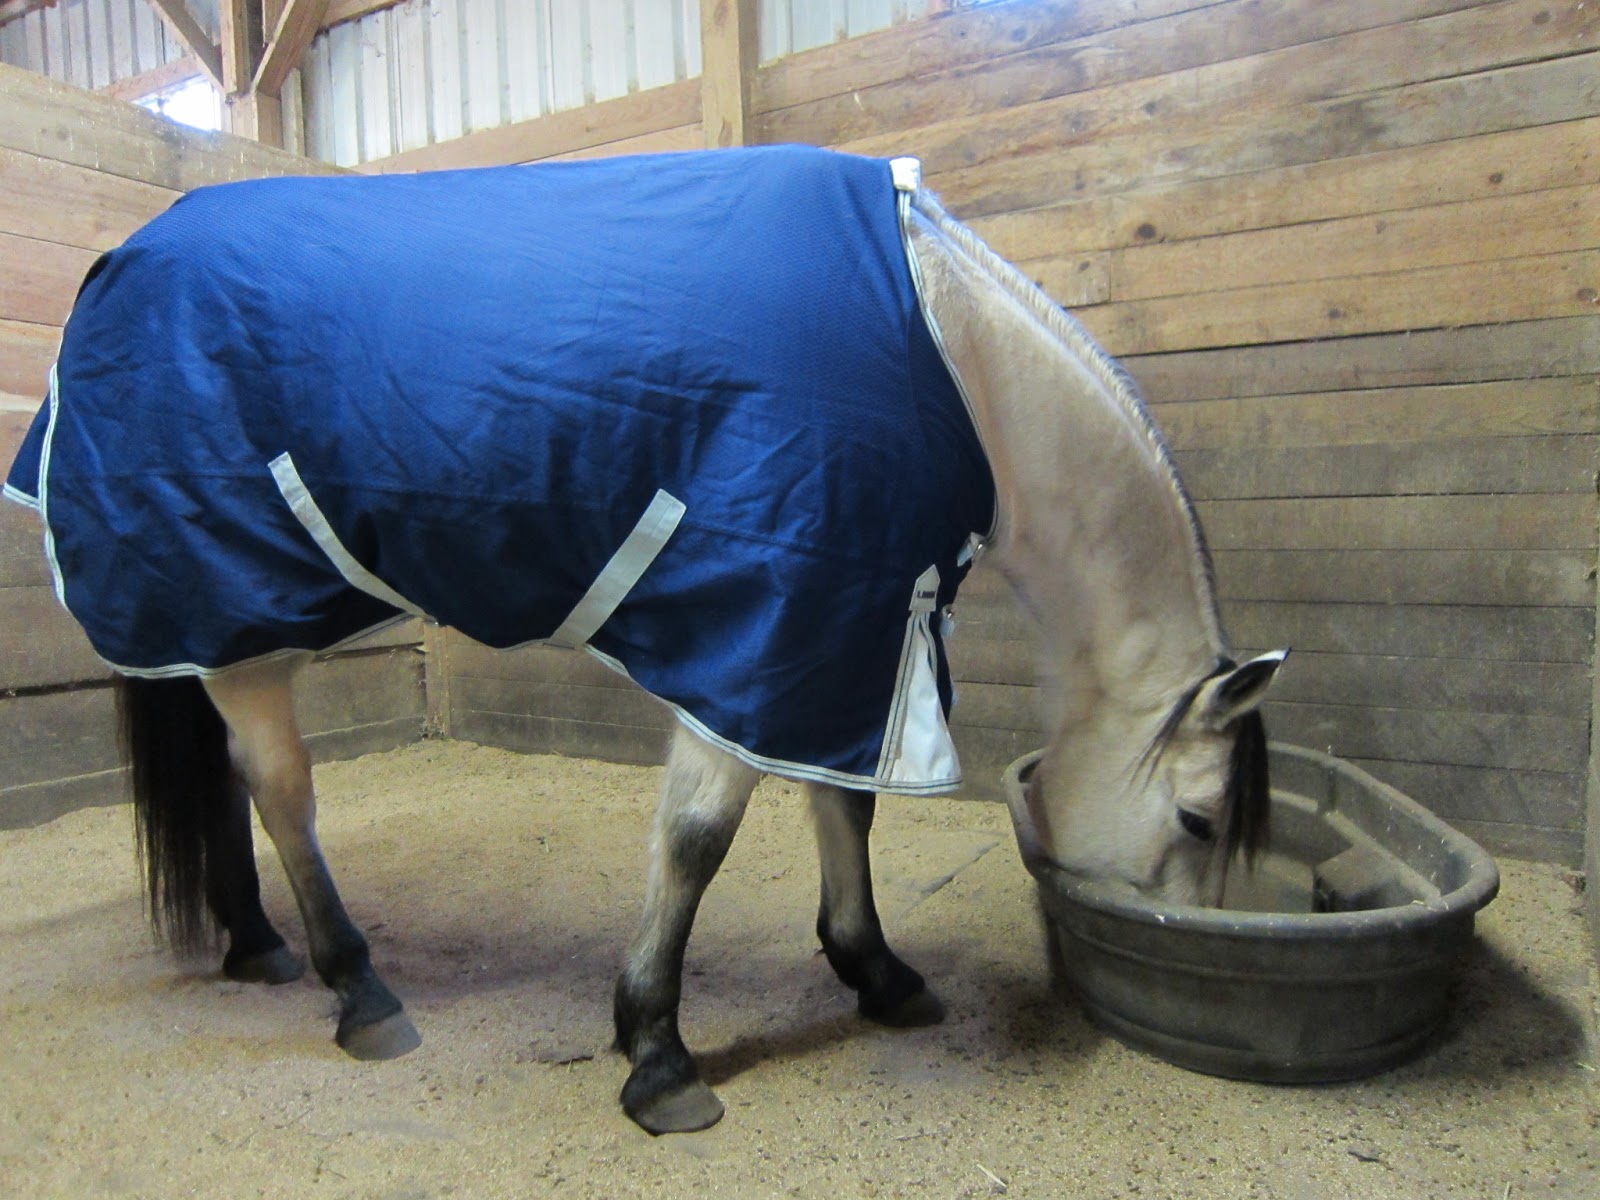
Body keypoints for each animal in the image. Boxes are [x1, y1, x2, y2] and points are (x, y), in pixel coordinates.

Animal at [3, 146, 1285, 1135]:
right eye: (1197, 820)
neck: (952, 352)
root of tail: (121, 260)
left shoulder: (851, 630)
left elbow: (842, 807)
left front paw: (872, 969)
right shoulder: (765, 621)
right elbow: (697, 839)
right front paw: (657, 1053)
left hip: (215, 620)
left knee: (228, 780)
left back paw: (255, 942)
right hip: (234, 608)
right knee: (280, 787)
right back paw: (358, 991)